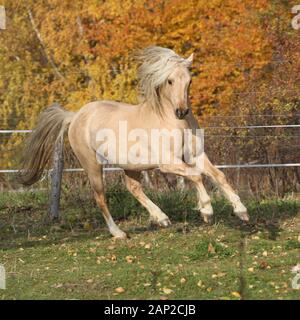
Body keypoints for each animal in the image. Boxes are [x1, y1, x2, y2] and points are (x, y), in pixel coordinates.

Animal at [18, 46, 248, 239]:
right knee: (100, 197)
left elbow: (218, 175)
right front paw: (206, 211)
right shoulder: (167, 163)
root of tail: (75, 116)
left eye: (189, 81)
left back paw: (162, 219)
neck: (170, 121)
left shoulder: (196, 155)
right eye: (169, 81)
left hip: (132, 165)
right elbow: (196, 175)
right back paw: (119, 233)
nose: (181, 111)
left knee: (133, 188)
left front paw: (241, 211)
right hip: (92, 164)